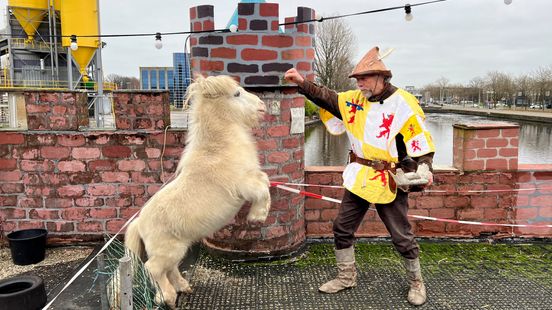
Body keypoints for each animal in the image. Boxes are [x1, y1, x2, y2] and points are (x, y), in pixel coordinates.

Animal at [125, 74, 272, 308]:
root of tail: (139, 223)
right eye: (237, 94)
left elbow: (265, 182)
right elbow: (262, 189)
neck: (217, 151)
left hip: (177, 250)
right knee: (154, 269)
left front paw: (258, 215)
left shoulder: (251, 177)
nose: (262, 106)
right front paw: (257, 217)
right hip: (167, 252)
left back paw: (182, 287)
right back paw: (168, 296)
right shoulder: (244, 184)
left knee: (170, 270)